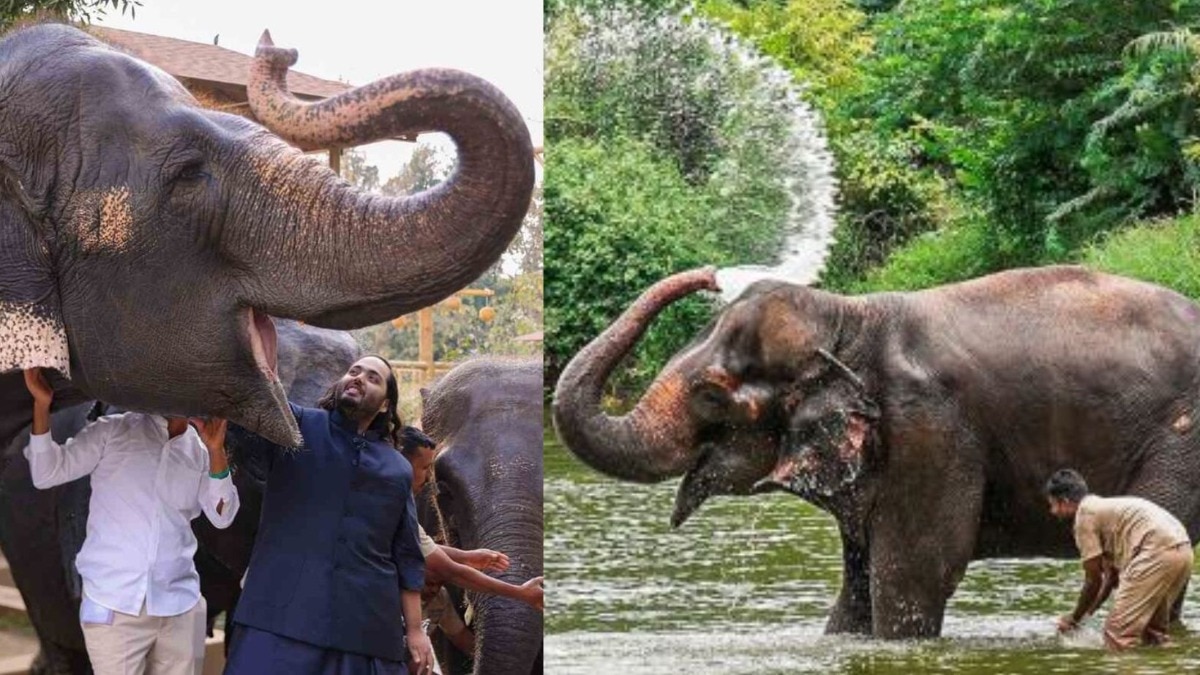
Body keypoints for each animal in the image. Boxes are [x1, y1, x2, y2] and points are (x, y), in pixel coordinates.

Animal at [553, 265, 1200, 639]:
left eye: (710, 394)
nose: (712, 275)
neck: (849, 314)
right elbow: (859, 584)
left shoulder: (930, 431)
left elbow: (915, 574)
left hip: (1180, 441)